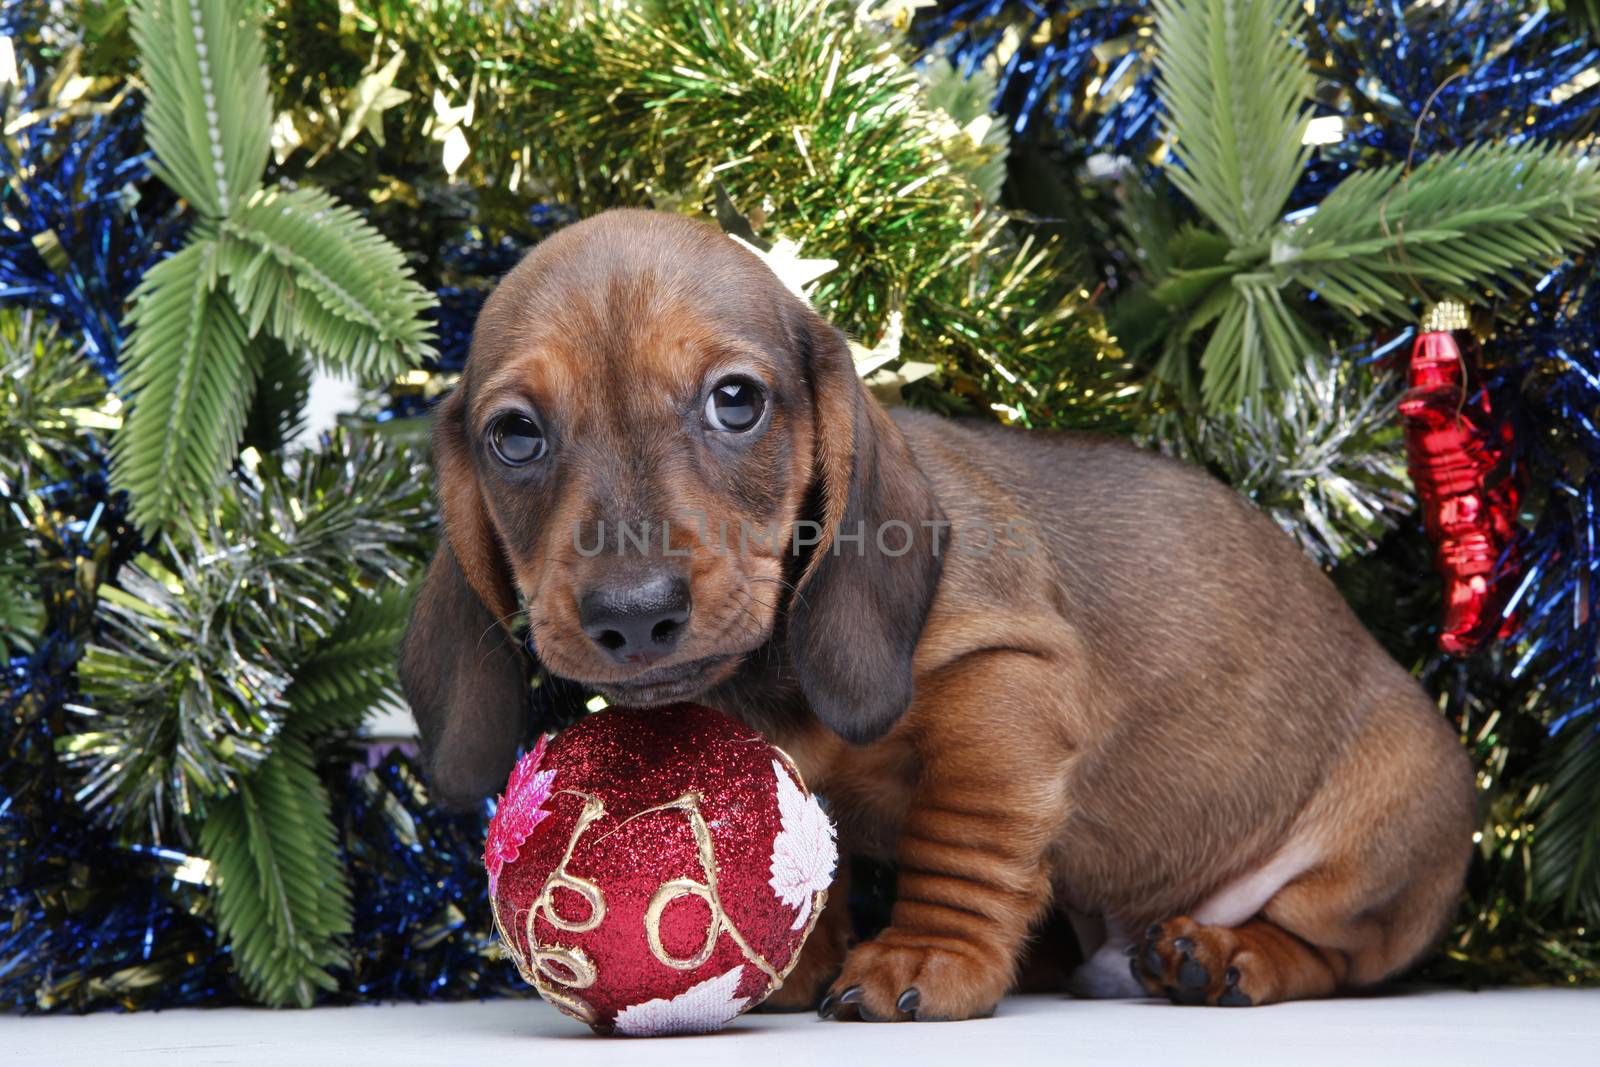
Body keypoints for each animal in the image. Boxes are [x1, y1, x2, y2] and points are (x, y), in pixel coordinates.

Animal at [400, 206, 1472, 1017]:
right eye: (515, 436)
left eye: (736, 400)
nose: (633, 614)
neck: (777, 678)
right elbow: (813, 845)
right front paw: (805, 952)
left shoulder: (1002, 682)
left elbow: (964, 837)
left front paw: (926, 955)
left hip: (1376, 840)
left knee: (1331, 950)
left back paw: (1225, 953)